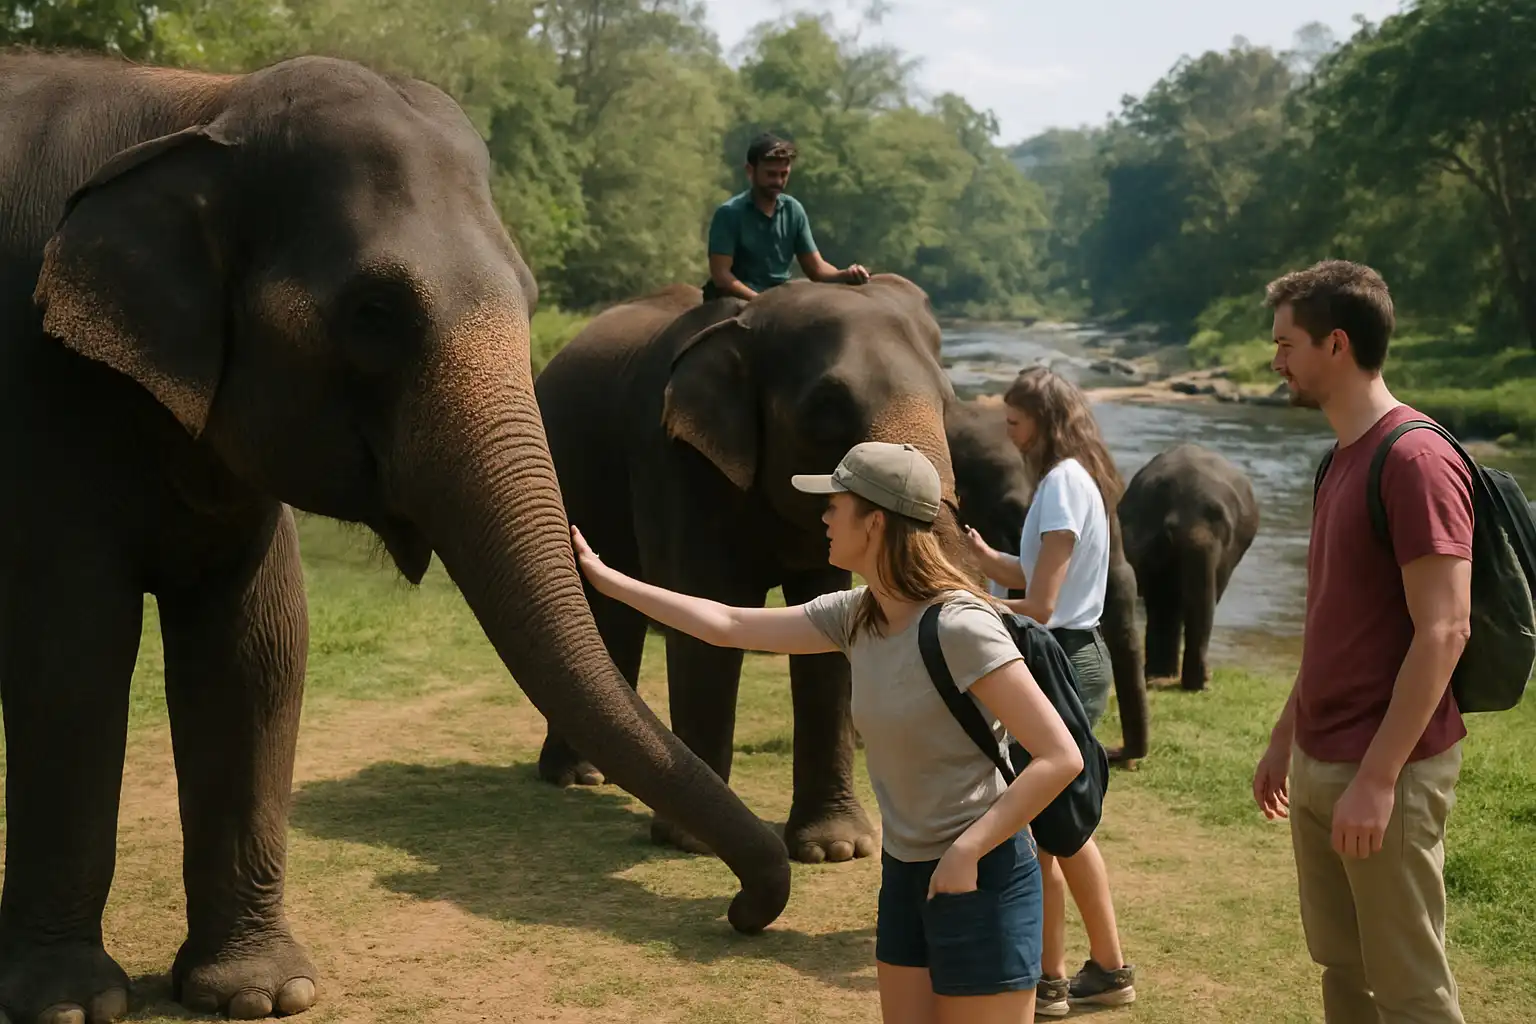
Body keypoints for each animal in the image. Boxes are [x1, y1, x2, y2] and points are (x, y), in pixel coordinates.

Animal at [0, 51, 790, 1023]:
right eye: (375, 312)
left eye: (532, 296)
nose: (742, 910)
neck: (199, 101)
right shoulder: (36, 390)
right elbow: (72, 655)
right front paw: (68, 1006)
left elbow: (258, 651)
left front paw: (262, 994)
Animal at [534, 276, 963, 863]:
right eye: (825, 407)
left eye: (949, 402)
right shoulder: (675, 460)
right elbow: (705, 608)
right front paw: (694, 841)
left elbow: (824, 626)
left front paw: (835, 850)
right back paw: (575, 777)